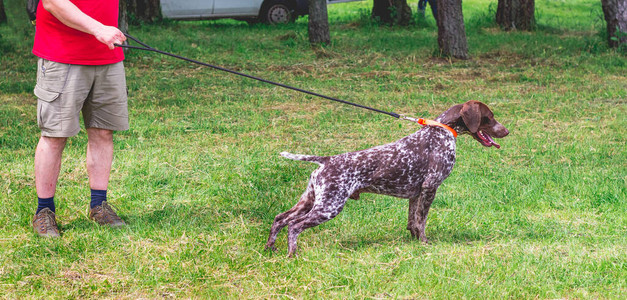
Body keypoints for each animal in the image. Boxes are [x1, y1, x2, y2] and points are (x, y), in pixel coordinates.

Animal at [266, 100, 510, 255]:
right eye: (490, 117)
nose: (506, 131)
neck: (441, 131)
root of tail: (325, 160)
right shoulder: (430, 187)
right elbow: (422, 221)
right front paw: (424, 244)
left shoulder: (415, 193)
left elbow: (413, 222)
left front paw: (414, 241)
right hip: (329, 206)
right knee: (294, 226)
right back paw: (292, 255)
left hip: (310, 201)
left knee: (280, 219)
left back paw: (271, 249)